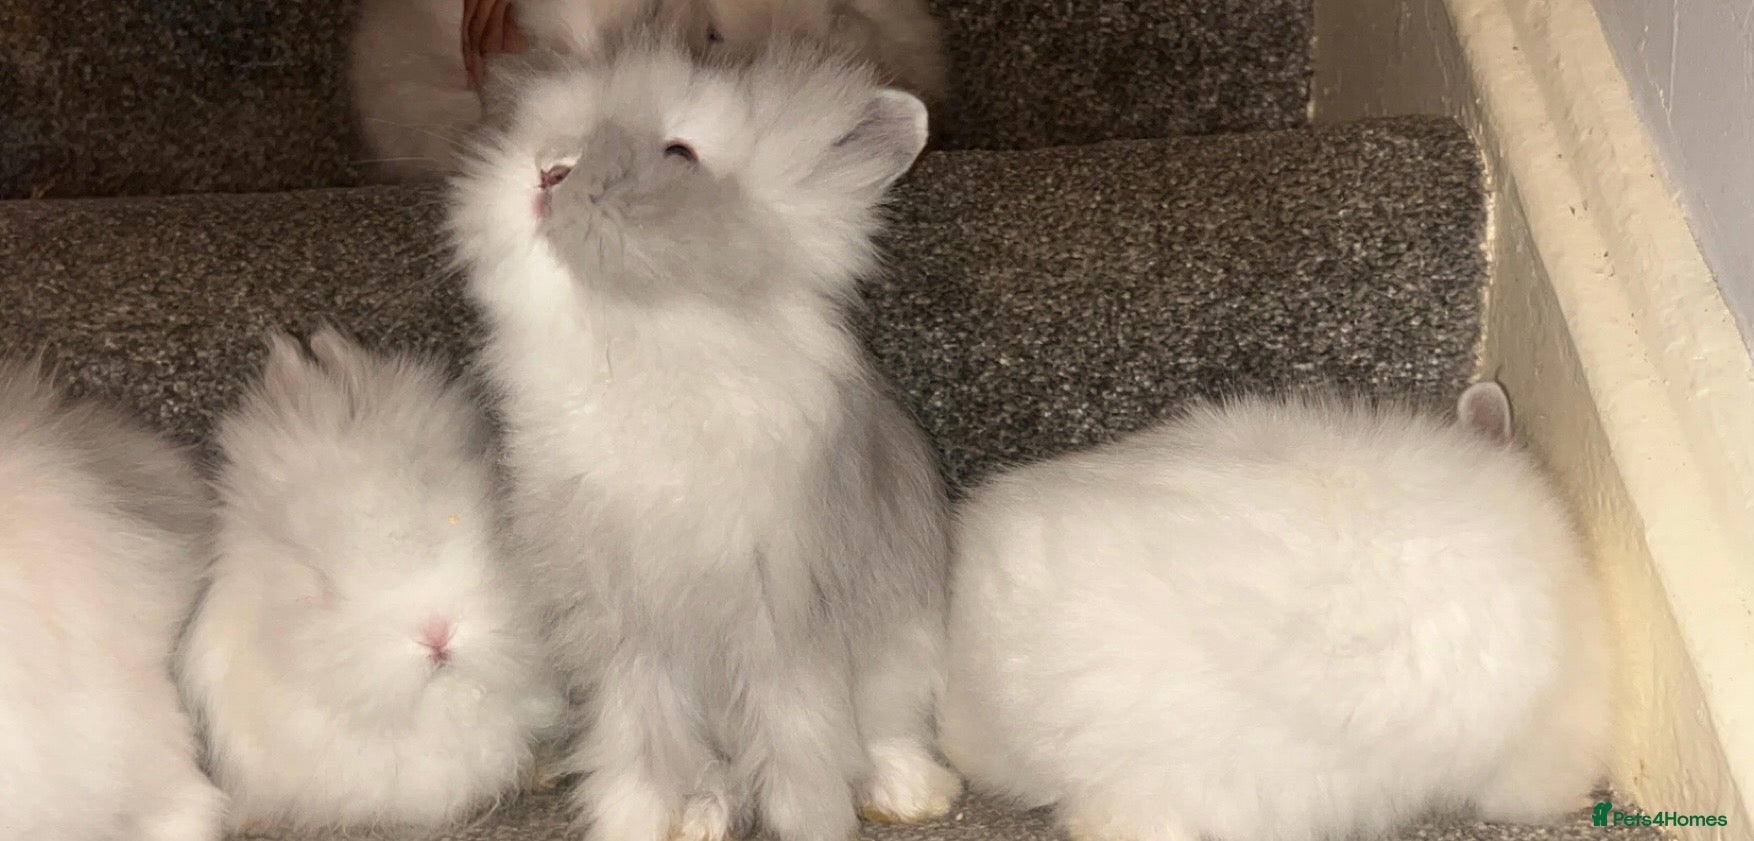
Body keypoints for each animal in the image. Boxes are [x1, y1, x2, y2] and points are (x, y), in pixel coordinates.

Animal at [449, 34, 960, 841]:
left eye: (680, 153)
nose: (548, 169)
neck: (637, 332)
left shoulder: (780, 618)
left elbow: (798, 741)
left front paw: (811, 824)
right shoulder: (626, 633)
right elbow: (640, 740)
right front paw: (638, 820)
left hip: (902, 653)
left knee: (889, 730)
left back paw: (911, 794)